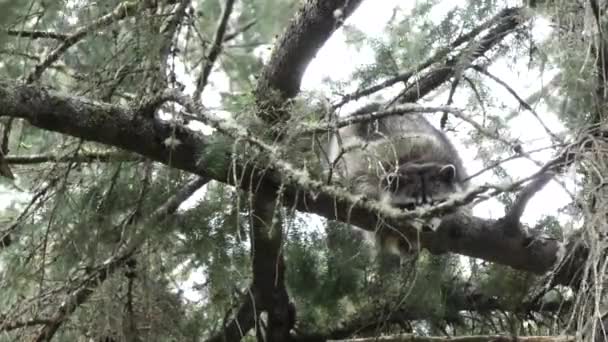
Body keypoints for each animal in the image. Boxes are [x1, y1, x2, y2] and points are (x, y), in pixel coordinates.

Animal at [326, 104, 468, 256]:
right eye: (411, 206)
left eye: (436, 203)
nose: (426, 228)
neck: (419, 161)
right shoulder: (378, 156)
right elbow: (358, 175)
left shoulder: (450, 158)